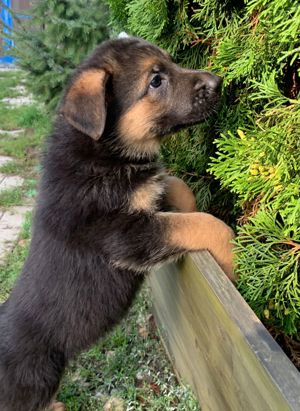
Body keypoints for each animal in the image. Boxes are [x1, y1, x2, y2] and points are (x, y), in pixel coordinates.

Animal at [0, 37, 234, 410]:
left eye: (172, 63)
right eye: (156, 81)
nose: (218, 81)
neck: (102, 152)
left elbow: (173, 185)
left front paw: (187, 199)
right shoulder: (125, 234)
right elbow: (196, 224)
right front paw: (233, 253)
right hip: (37, 379)